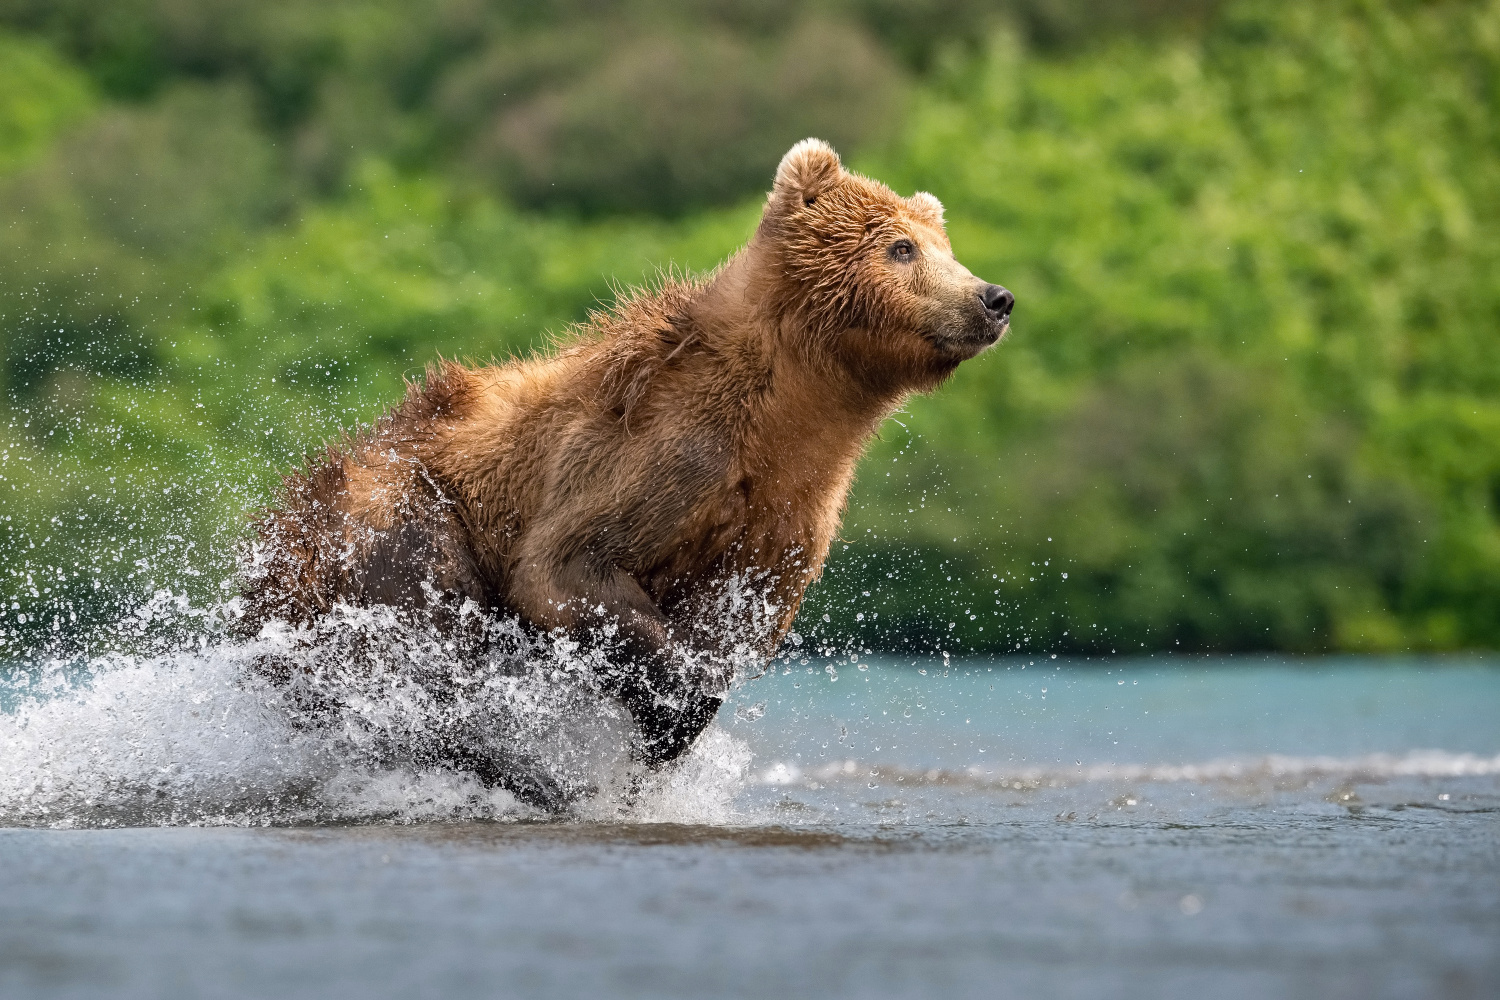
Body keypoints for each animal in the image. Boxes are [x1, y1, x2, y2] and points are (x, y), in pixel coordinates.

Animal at [240, 138, 1014, 797]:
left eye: (945, 247)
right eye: (901, 246)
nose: (993, 297)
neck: (790, 413)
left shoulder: (785, 516)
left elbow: (731, 627)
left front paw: (677, 724)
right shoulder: (653, 454)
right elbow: (568, 566)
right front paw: (673, 703)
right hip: (397, 515)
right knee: (423, 632)